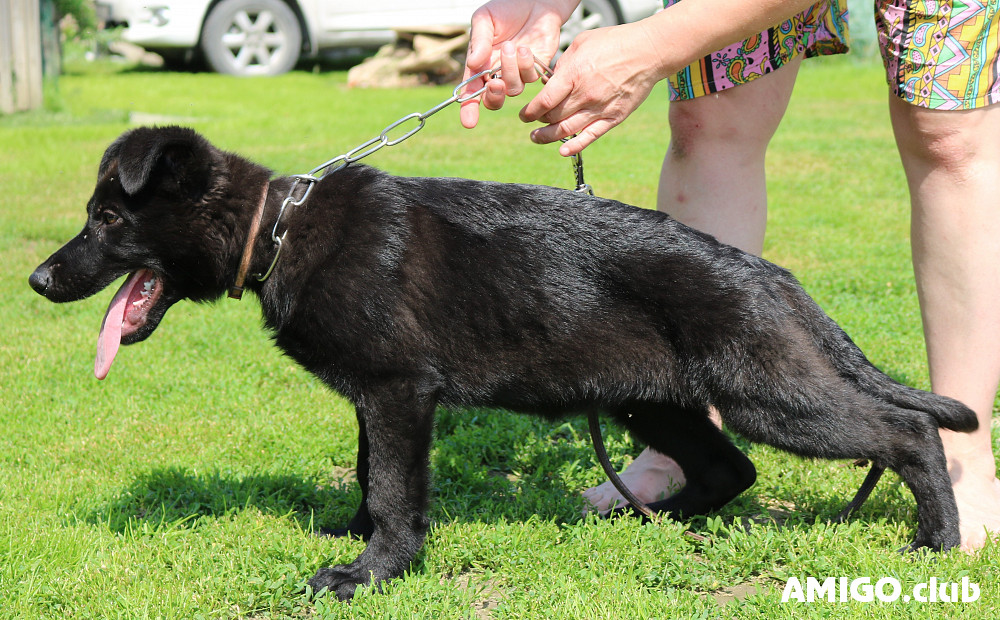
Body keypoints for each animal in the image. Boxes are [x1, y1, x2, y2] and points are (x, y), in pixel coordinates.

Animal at [29, 127, 976, 600]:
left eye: (109, 218)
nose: (37, 280)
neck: (280, 230)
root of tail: (771, 276)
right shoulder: (378, 400)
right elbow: (370, 474)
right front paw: (355, 536)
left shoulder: (400, 393)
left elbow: (395, 489)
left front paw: (372, 572)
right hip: (652, 402)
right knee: (727, 470)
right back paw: (642, 523)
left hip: (768, 396)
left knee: (906, 430)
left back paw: (939, 538)